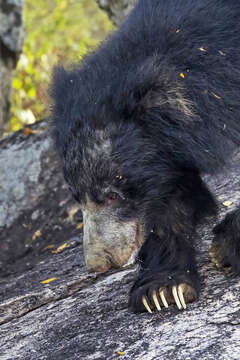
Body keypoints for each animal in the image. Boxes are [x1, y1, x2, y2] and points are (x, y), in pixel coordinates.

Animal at [50, 0, 240, 314]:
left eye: (113, 195)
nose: (100, 264)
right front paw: (162, 290)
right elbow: (170, 203)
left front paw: (225, 247)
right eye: (78, 199)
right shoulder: (165, 158)